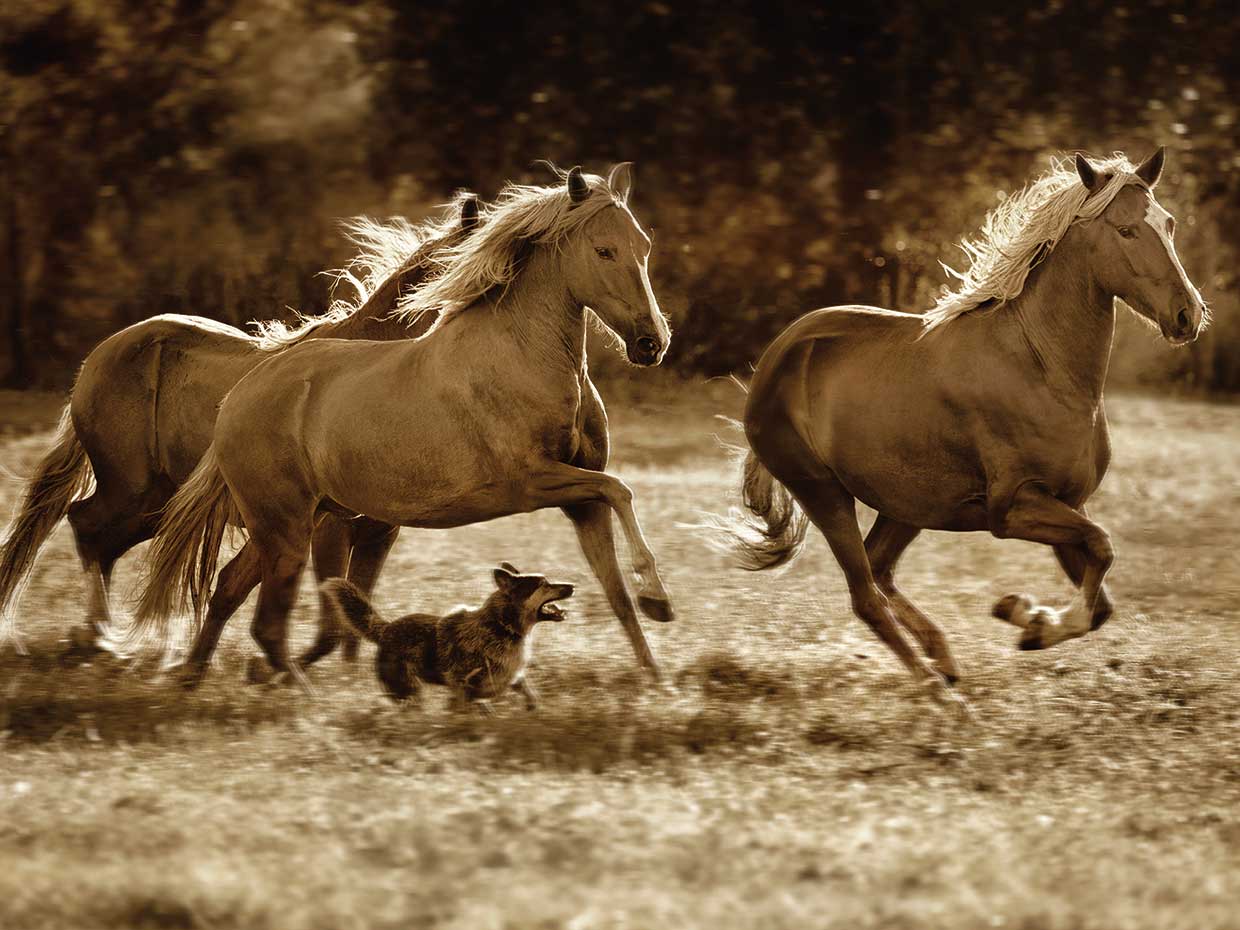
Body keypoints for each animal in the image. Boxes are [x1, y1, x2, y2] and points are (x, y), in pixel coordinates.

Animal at [0, 193, 480, 663]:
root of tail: (98, 358)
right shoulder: (331, 528)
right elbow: (332, 625)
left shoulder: (378, 533)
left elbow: (352, 627)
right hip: (129, 488)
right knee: (84, 524)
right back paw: (98, 636)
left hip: (157, 502)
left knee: (102, 542)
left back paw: (100, 638)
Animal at [133, 164, 675, 687]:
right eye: (604, 250)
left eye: (644, 247)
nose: (651, 343)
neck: (521, 356)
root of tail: (238, 396)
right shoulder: (531, 482)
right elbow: (621, 489)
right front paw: (658, 597)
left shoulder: (580, 501)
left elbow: (616, 589)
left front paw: (656, 672)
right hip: (287, 530)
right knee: (268, 623)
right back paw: (299, 694)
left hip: (291, 523)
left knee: (231, 590)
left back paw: (198, 678)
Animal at [710, 146, 1207, 709]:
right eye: (1125, 230)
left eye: (1168, 223)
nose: (1188, 315)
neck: (1042, 367)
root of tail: (778, 356)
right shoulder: (1013, 509)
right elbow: (1103, 549)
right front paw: (1027, 617)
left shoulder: (1068, 504)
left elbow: (1101, 600)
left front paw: (1030, 621)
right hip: (823, 493)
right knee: (864, 595)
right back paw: (939, 693)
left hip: (907, 505)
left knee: (879, 571)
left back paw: (944, 663)